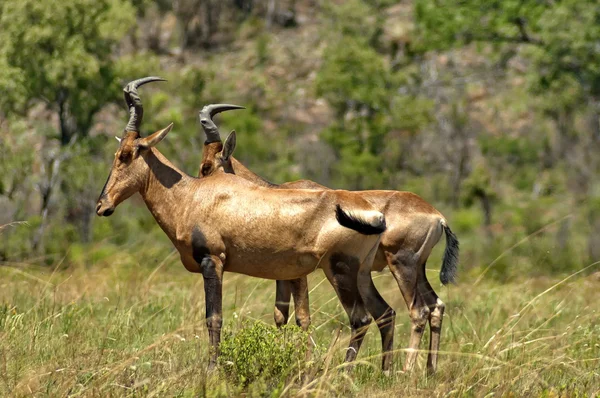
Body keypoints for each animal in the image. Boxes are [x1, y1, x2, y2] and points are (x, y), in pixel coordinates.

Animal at [95, 77, 398, 370]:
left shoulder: (213, 261)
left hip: (339, 270)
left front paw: (211, 370)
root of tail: (374, 213)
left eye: (125, 154)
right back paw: (385, 371)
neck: (192, 195)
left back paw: (344, 372)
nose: (102, 205)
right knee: (385, 313)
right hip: (362, 272)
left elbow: (214, 318)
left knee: (360, 319)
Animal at [195, 105, 458, 374]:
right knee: (432, 306)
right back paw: (425, 369)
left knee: (418, 311)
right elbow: (280, 315)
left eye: (206, 167)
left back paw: (406, 370)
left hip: (401, 265)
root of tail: (437, 216)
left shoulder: (298, 272)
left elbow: (302, 317)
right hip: (416, 269)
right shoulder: (281, 271)